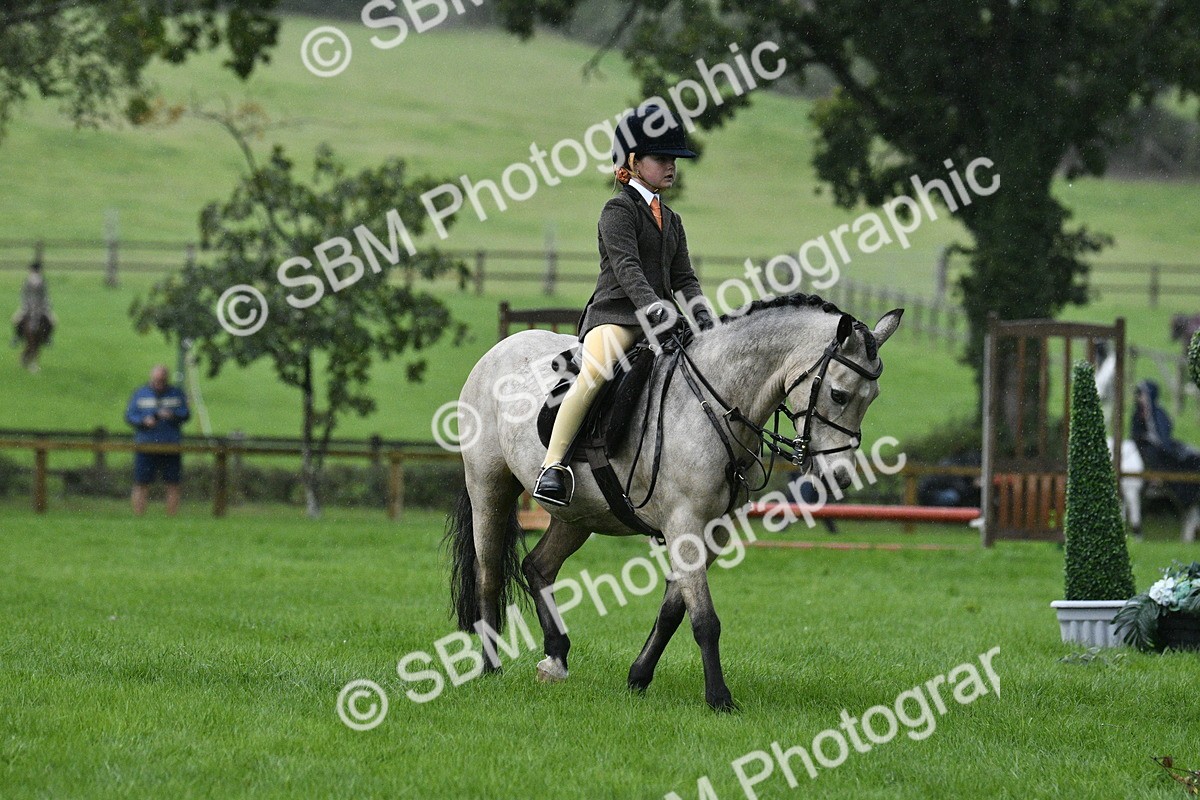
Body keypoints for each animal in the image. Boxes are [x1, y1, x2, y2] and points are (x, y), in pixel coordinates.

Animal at [445, 293, 903, 710]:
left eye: (873, 397)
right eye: (839, 394)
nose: (839, 476)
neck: (716, 403)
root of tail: (499, 350)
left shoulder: (714, 530)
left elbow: (674, 611)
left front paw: (638, 678)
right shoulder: (684, 523)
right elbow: (705, 620)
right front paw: (719, 699)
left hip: (578, 515)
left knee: (537, 567)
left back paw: (555, 659)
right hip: (490, 488)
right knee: (488, 573)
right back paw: (491, 667)